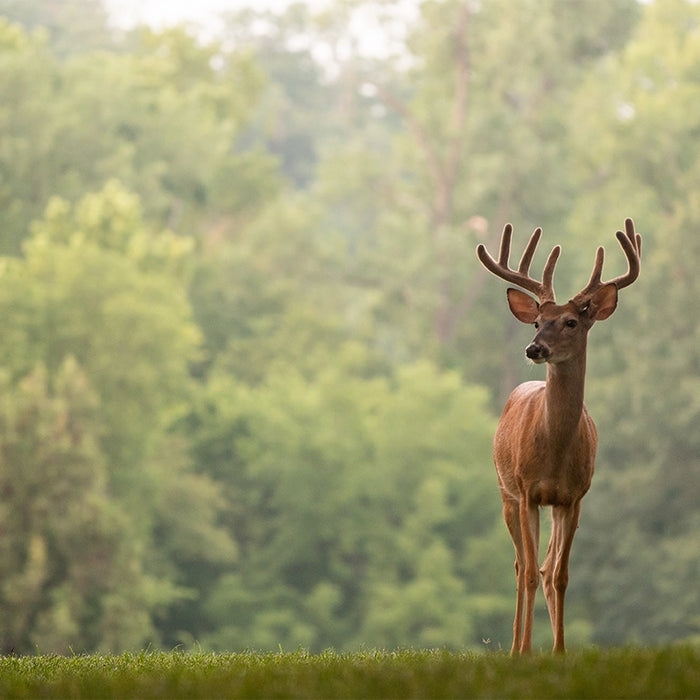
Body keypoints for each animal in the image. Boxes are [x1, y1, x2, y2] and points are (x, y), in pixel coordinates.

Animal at [476, 216, 640, 652]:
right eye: (536, 322)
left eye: (571, 321)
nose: (533, 348)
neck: (554, 452)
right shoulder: (528, 490)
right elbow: (532, 572)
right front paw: (525, 652)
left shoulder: (574, 496)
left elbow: (560, 575)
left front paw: (560, 652)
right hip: (506, 493)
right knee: (521, 566)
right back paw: (515, 647)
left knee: (546, 567)